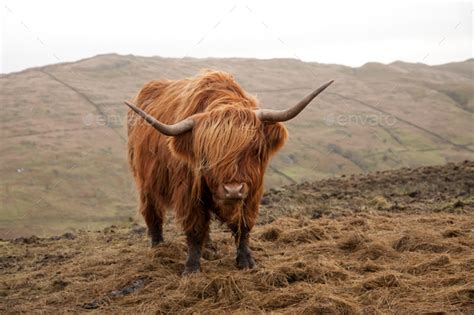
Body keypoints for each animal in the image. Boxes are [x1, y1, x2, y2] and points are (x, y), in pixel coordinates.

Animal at [126, 70, 334, 276]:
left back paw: (209, 248)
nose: (233, 190)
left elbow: (243, 226)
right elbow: (194, 228)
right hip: (144, 181)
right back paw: (158, 247)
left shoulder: (252, 192)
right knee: (152, 212)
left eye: (253, 149)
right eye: (207, 154)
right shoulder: (188, 192)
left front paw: (246, 261)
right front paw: (191, 268)